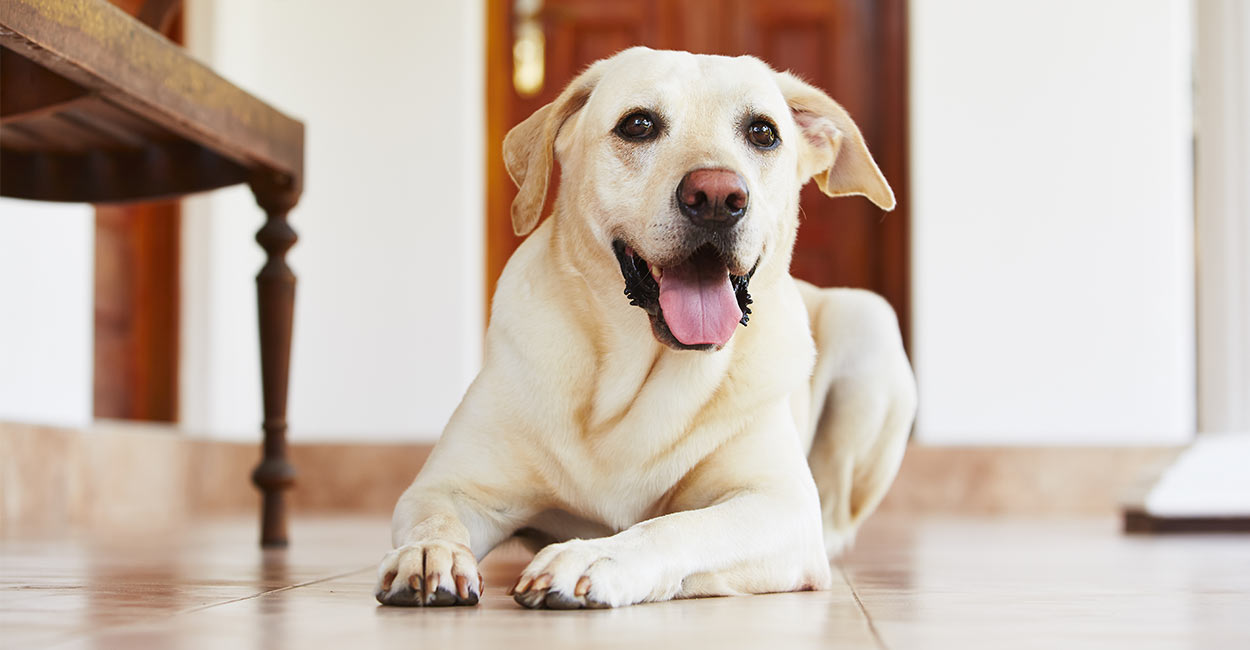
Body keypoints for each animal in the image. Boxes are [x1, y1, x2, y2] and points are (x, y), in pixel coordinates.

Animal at [375, 46, 915, 610]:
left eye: (763, 132)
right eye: (638, 125)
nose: (718, 196)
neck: (633, 377)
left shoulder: (780, 504)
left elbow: (680, 526)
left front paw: (592, 557)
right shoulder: (446, 487)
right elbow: (435, 518)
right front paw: (428, 553)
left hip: (870, 323)